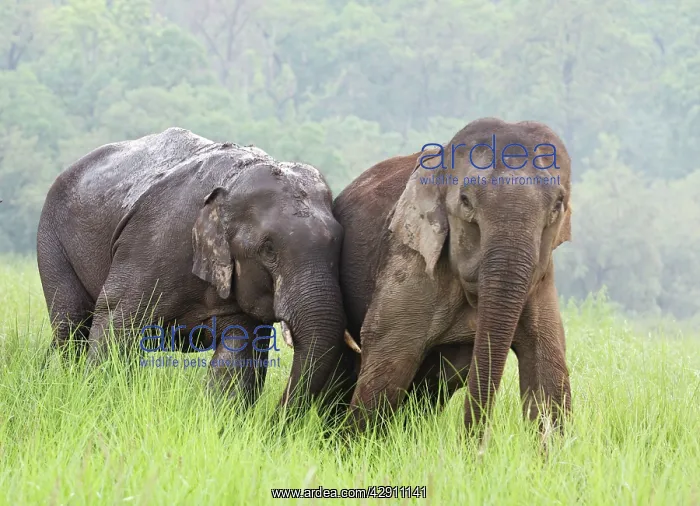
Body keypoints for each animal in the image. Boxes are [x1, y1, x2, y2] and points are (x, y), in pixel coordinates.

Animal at [37, 127, 351, 409]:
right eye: (268, 249)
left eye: (339, 242)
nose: (277, 417)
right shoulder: (152, 243)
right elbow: (116, 322)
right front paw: (100, 403)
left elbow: (236, 356)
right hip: (51, 240)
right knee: (71, 325)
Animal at [333, 117, 573, 434]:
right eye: (466, 201)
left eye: (558, 204)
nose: (472, 443)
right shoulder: (410, 260)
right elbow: (388, 362)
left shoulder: (542, 278)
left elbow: (548, 369)